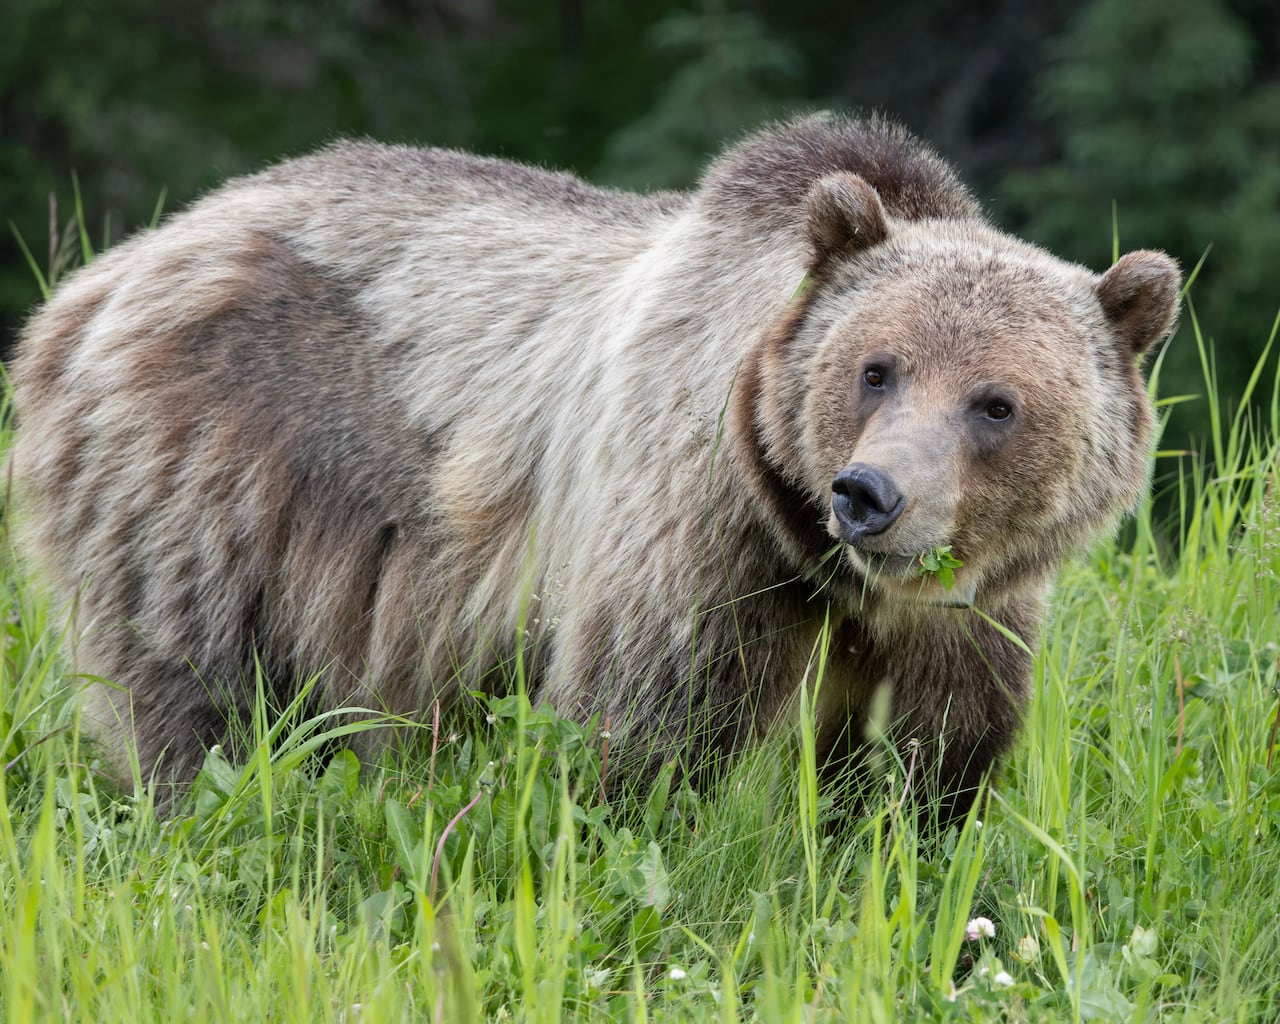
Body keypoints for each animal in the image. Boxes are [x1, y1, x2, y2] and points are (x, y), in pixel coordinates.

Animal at [9, 114, 1180, 818]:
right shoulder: (695, 519)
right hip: (215, 464)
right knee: (195, 684)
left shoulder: (965, 609)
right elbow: (649, 719)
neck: (814, 558)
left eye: (996, 403)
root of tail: (102, 277)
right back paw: (203, 803)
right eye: (875, 368)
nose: (871, 495)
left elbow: (933, 753)